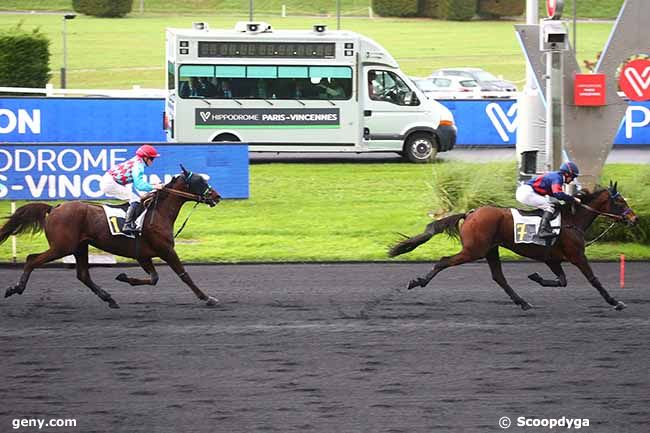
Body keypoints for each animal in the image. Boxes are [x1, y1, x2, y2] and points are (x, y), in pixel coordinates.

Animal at [0, 165, 220, 308]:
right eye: (201, 181)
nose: (217, 196)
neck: (157, 213)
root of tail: (54, 208)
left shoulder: (143, 255)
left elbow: (154, 278)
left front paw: (124, 277)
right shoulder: (166, 250)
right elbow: (184, 275)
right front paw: (207, 298)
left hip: (80, 246)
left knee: (83, 274)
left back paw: (109, 299)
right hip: (62, 246)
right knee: (32, 259)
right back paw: (16, 288)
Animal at [388, 182, 636, 310]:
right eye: (620, 201)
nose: (634, 218)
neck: (571, 221)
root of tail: (470, 213)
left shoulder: (552, 258)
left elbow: (562, 281)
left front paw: (536, 277)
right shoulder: (576, 255)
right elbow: (593, 279)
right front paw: (615, 302)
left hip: (490, 249)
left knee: (498, 277)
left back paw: (522, 301)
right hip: (474, 250)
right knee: (443, 262)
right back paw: (417, 282)